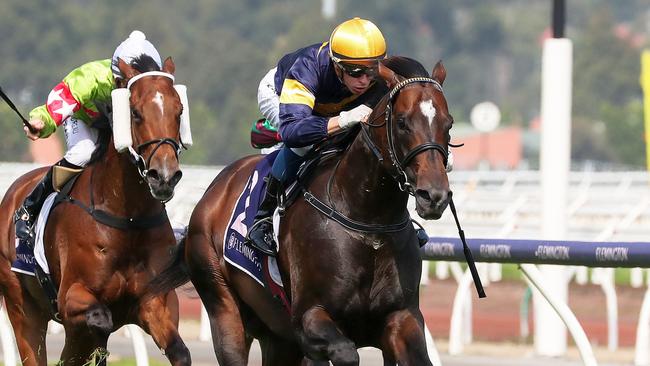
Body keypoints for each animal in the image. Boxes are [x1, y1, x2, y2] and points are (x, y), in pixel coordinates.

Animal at [0, 55, 190, 366]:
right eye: (135, 113)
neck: (127, 218)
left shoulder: (155, 301)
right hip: (22, 307)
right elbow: (98, 321)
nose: (164, 176)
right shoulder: (70, 297)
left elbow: (179, 351)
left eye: (179, 111)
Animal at [152, 55, 450, 364]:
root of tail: (216, 189)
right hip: (224, 307)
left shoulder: (401, 317)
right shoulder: (308, 318)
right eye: (402, 123)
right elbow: (345, 352)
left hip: (276, 335)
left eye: (448, 123)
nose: (434, 195)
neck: (368, 222)